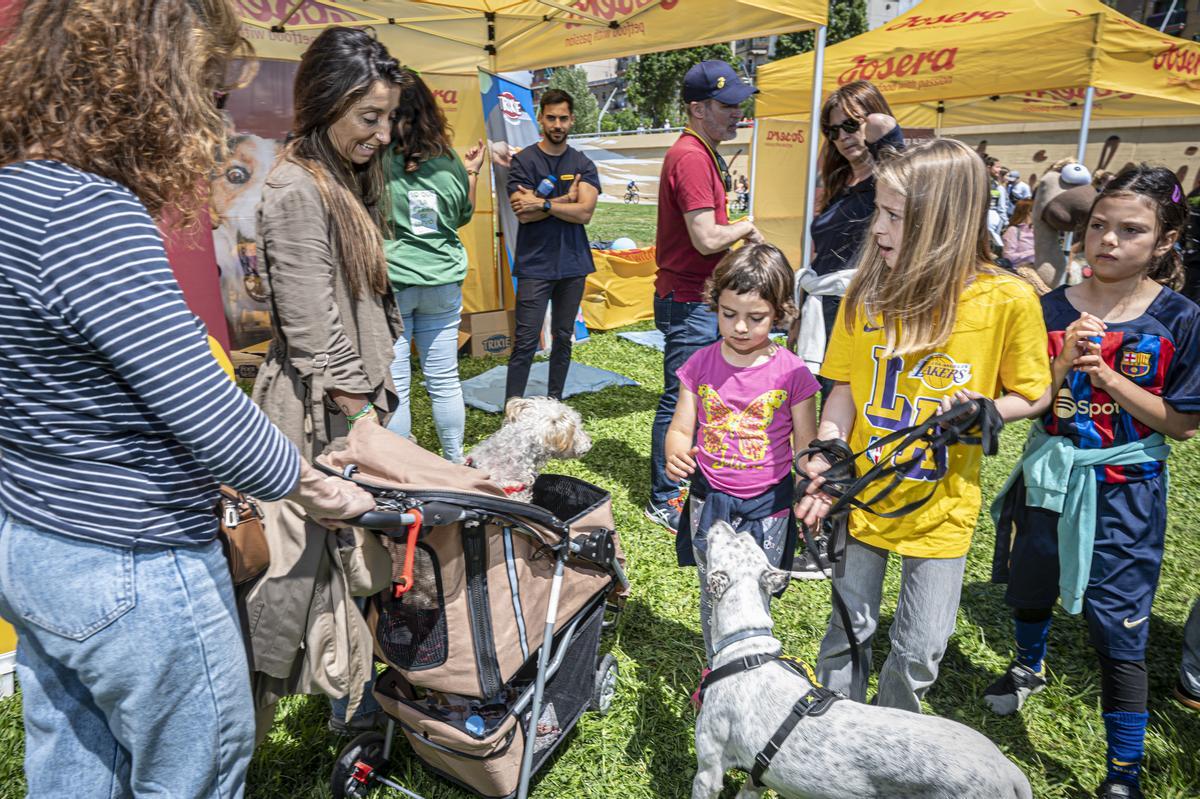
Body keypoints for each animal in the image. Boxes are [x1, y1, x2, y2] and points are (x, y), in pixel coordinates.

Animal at [696, 515, 1032, 796]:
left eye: (725, 541)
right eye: (745, 539)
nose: (720, 521)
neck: (748, 648)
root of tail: (1010, 772)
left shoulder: (708, 772)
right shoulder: (758, 776)